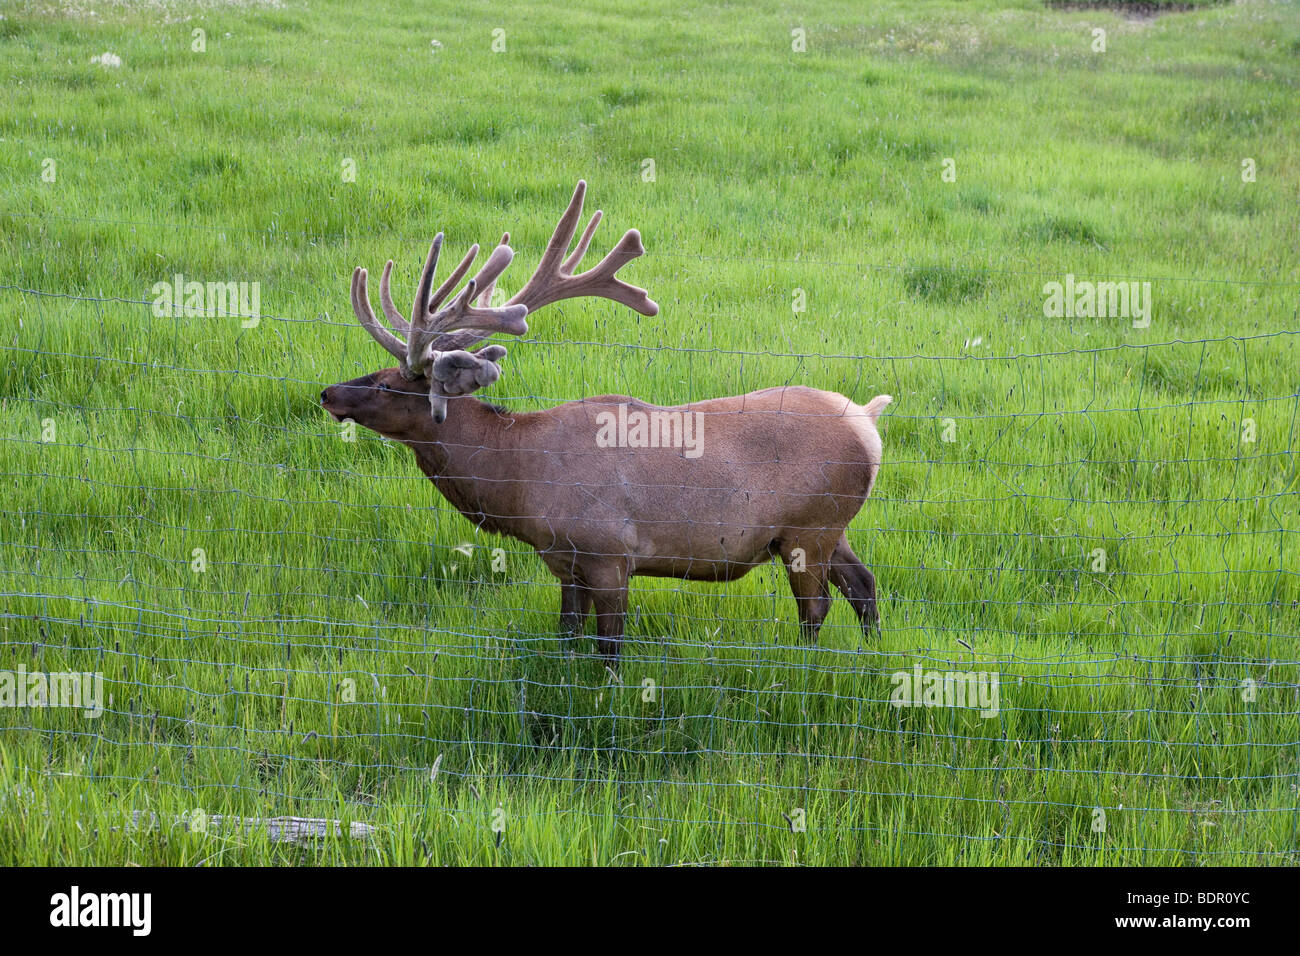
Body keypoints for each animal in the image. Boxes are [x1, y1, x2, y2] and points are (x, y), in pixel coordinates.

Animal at [322, 179, 894, 660]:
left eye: (388, 385)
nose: (327, 393)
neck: (517, 477)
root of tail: (867, 422)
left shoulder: (609, 551)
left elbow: (609, 646)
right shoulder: (563, 560)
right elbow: (566, 634)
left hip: (810, 525)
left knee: (816, 607)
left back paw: (806, 668)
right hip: (829, 526)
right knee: (863, 584)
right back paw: (869, 656)